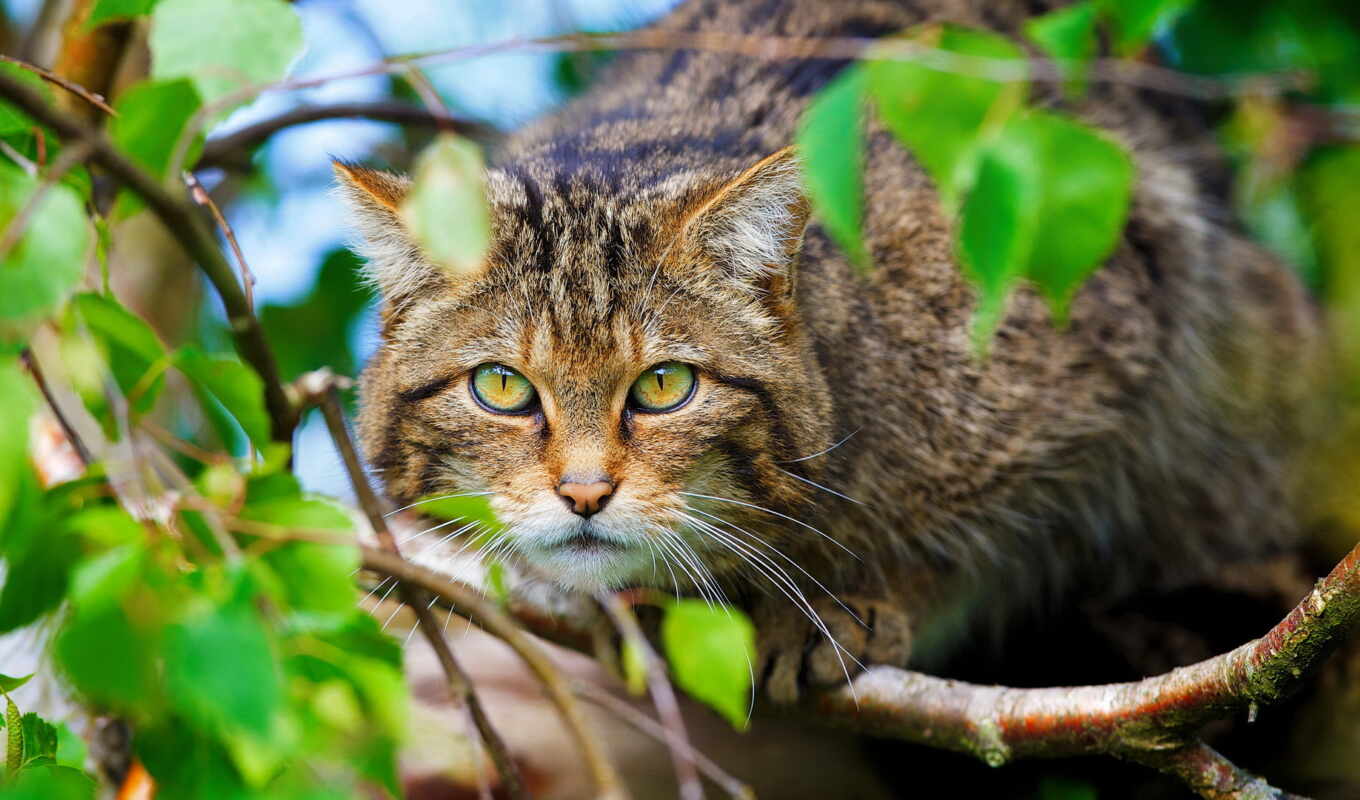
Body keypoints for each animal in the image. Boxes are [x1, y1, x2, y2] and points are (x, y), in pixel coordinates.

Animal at [334, 0, 1321, 702]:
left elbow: (993, 539)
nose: (582, 494)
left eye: (664, 386)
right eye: (502, 387)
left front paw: (847, 598)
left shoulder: (1111, 347)